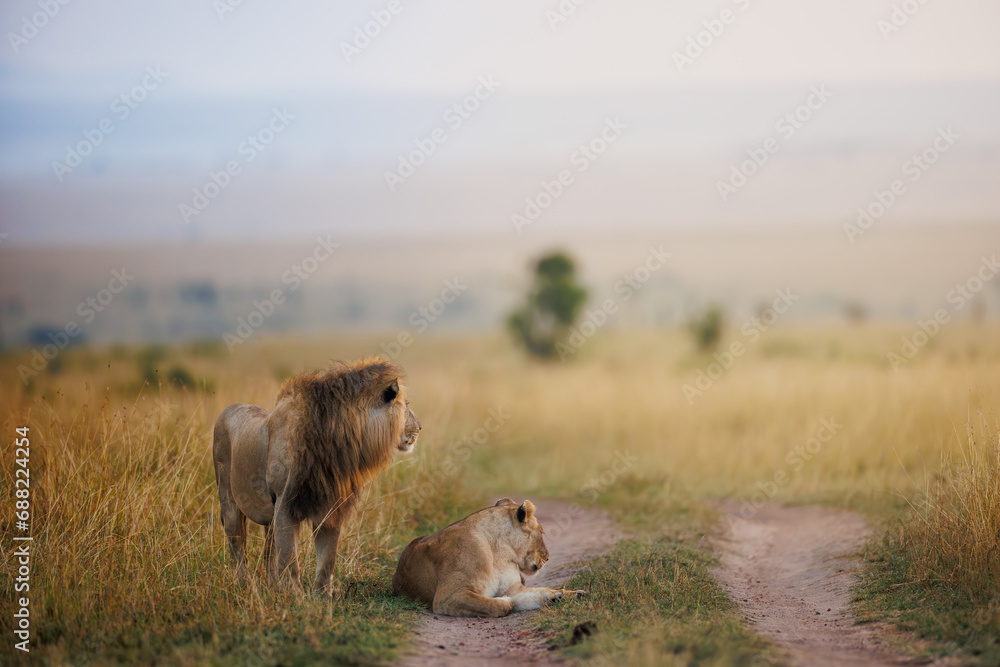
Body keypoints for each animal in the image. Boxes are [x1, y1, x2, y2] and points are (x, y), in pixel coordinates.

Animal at [212, 357, 421, 597]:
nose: (420, 427)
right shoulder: (284, 502)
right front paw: (294, 595)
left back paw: (271, 585)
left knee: (269, 548)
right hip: (229, 499)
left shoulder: (331, 505)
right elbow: (289, 558)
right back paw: (243, 584)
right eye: (407, 405)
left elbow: (327, 556)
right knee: (237, 545)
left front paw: (322, 596)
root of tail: (229, 408)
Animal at [392, 498, 586, 617]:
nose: (548, 558)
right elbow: (496, 605)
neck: (499, 552)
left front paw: (569, 594)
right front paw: (502, 600)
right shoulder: (447, 597)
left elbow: (541, 591)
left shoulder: (513, 588)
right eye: (542, 532)